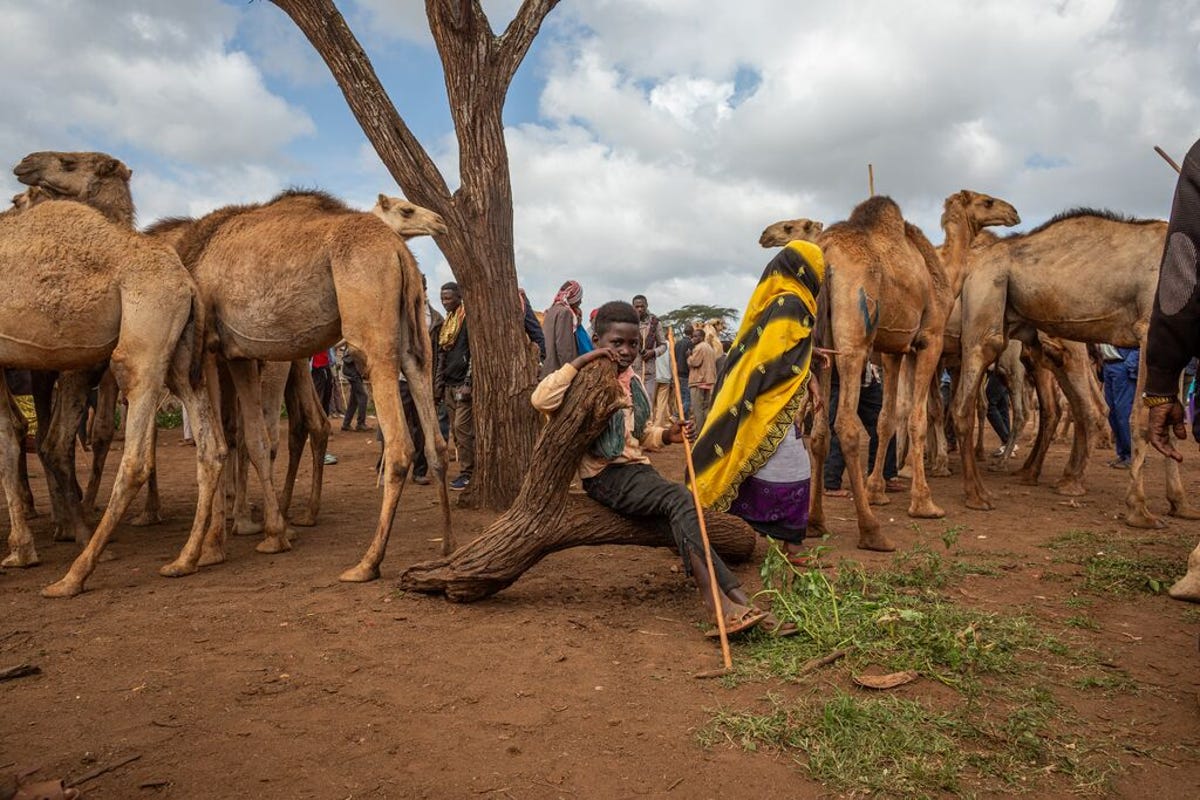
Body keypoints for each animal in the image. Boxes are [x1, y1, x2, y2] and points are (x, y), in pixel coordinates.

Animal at [0, 195, 225, 594]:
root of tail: (188, 282)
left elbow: (8, 437)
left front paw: (21, 551)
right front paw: (20, 550)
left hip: (145, 328)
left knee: (134, 454)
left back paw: (74, 575)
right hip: (181, 351)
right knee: (209, 446)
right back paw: (185, 560)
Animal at [950, 208, 1195, 532]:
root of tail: (974, 265)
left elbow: (1168, 420)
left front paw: (1180, 504)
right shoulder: (1148, 329)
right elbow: (1144, 421)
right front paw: (1139, 511)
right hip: (987, 299)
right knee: (967, 399)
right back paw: (979, 495)